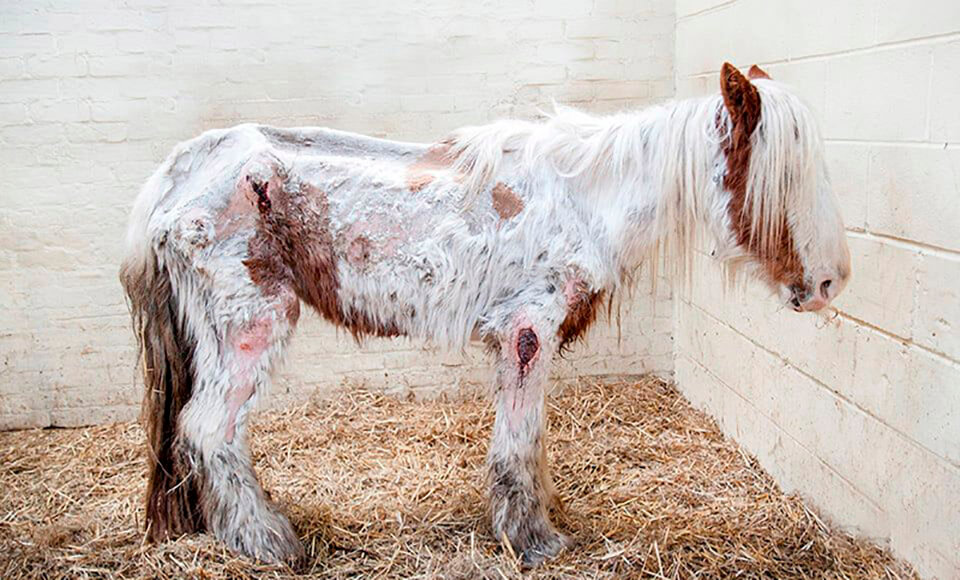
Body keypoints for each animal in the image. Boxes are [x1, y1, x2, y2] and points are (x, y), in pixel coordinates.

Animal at [120, 63, 851, 567]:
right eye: (783, 176)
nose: (829, 283)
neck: (586, 199)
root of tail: (177, 174)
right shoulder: (528, 333)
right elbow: (519, 440)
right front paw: (532, 540)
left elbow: (531, 439)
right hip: (249, 327)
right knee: (209, 429)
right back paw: (268, 541)